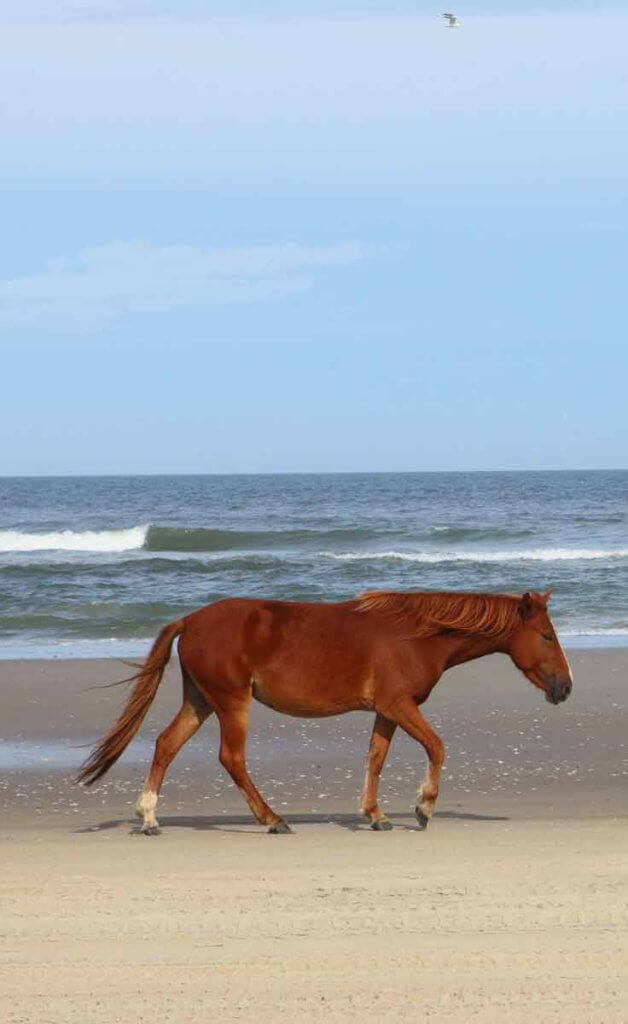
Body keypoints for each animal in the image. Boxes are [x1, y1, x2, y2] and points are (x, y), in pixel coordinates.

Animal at [75, 589, 569, 835]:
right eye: (546, 635)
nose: (565, 687)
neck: (417, 635)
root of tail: (191, 620)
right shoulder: (400, 705)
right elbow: (437, 747)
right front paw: (423, 807)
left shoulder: (387, 710)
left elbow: (376, 758)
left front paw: (376, 815)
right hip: (231, 702)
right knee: (231, 758)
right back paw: (272, 820)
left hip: (200, 701)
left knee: (165, 746)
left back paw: (149, 818)